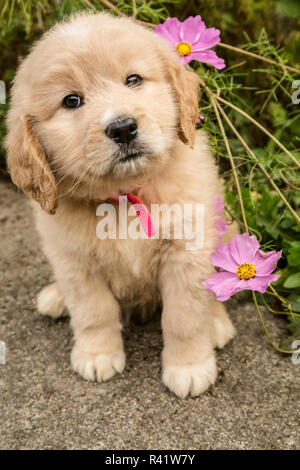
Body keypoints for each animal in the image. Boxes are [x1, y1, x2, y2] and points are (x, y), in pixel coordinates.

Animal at [4, 11, 234, 396]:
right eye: (71, 101)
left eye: (133, 80)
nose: (123, 127)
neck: (124, 198)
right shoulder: (75, 262)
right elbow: (94, 312)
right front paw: (97, 355)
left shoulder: (186, 251)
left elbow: (184, 317)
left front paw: (189, 367)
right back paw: (56, 297)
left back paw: (217, 324)